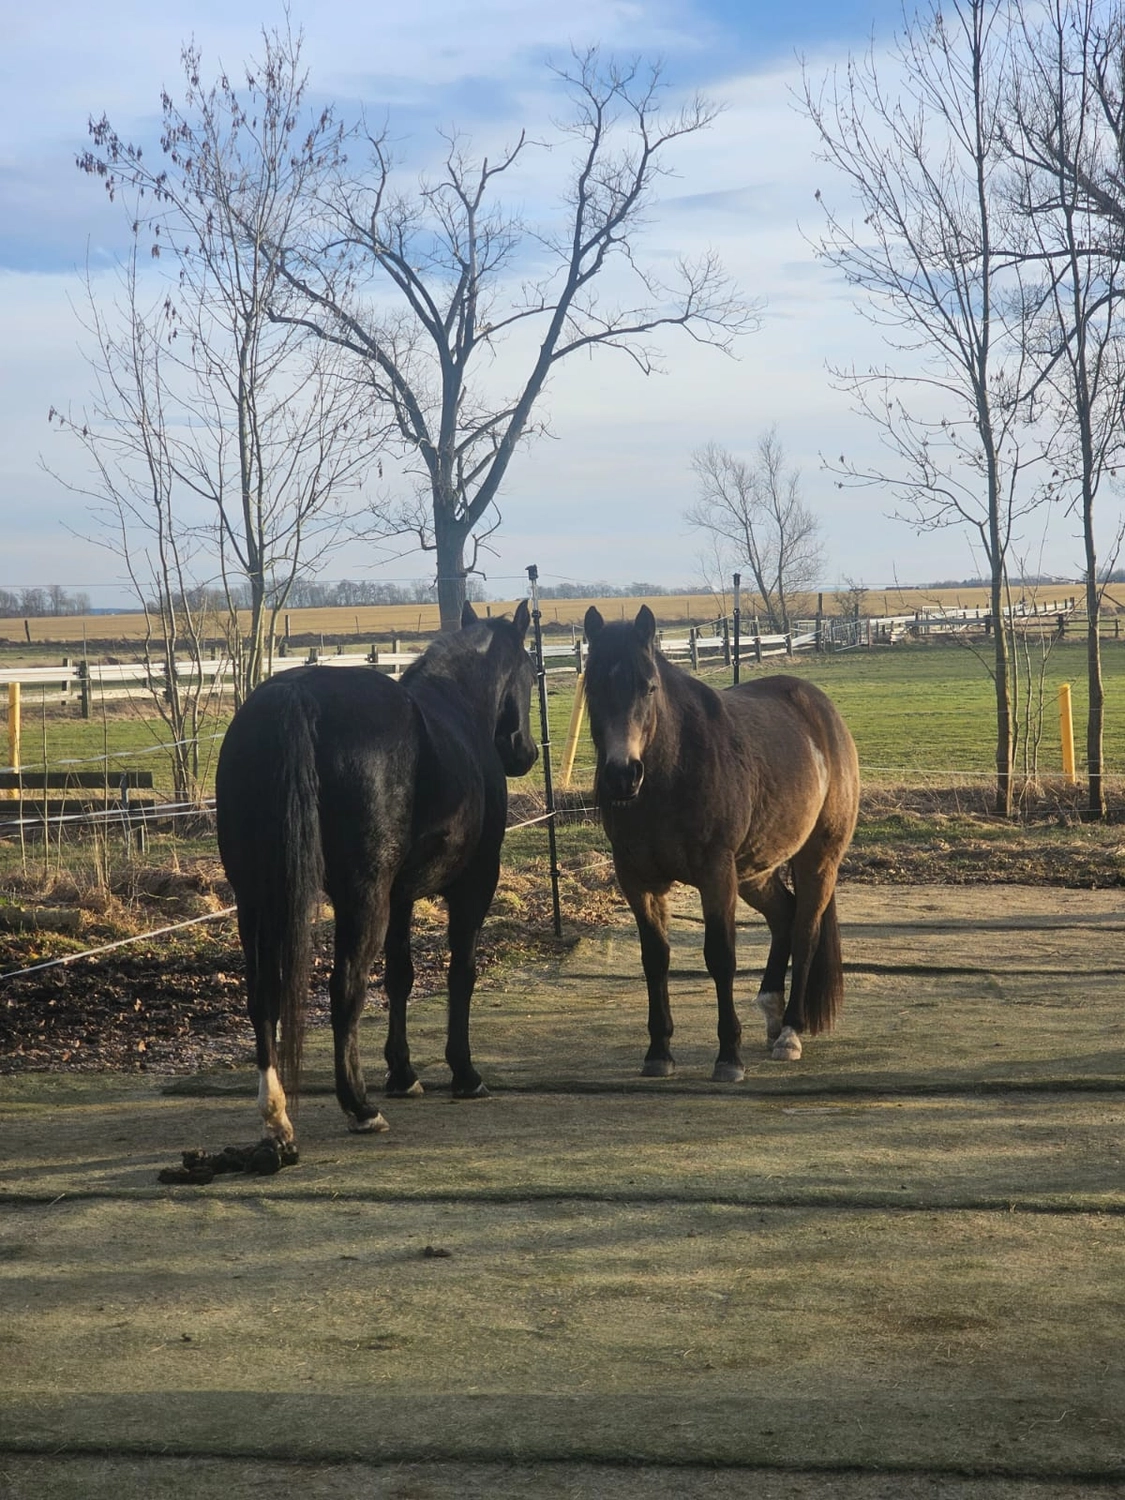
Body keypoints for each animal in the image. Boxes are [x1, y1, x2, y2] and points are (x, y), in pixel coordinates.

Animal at [215, 600, 538, 1144]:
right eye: (531, 672)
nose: (524, 752)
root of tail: (293, 696)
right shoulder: (473, 886)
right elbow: (461, 972)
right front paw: (464, 1072)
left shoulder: (401, 895)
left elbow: (401, 977)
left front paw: (403, 1073)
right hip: (360, 898)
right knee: (345, 986)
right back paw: (359, 1106)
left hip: (256, 899)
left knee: (262, 995)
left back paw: (275, 1114)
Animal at [582, 604, 859, 1081]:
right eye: (594, 686)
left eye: (648, 687)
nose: (622, 774)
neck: (673, 771)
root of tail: (823, 713)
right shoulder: (638, 879)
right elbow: (655, 958)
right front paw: (659, 1051)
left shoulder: (715, 875)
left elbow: (720, 957)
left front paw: (729, 1055)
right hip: (754, 870)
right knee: (784, 917)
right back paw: (771, 1013)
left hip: (817, 859)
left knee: (804, 930)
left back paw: (790, 1032)